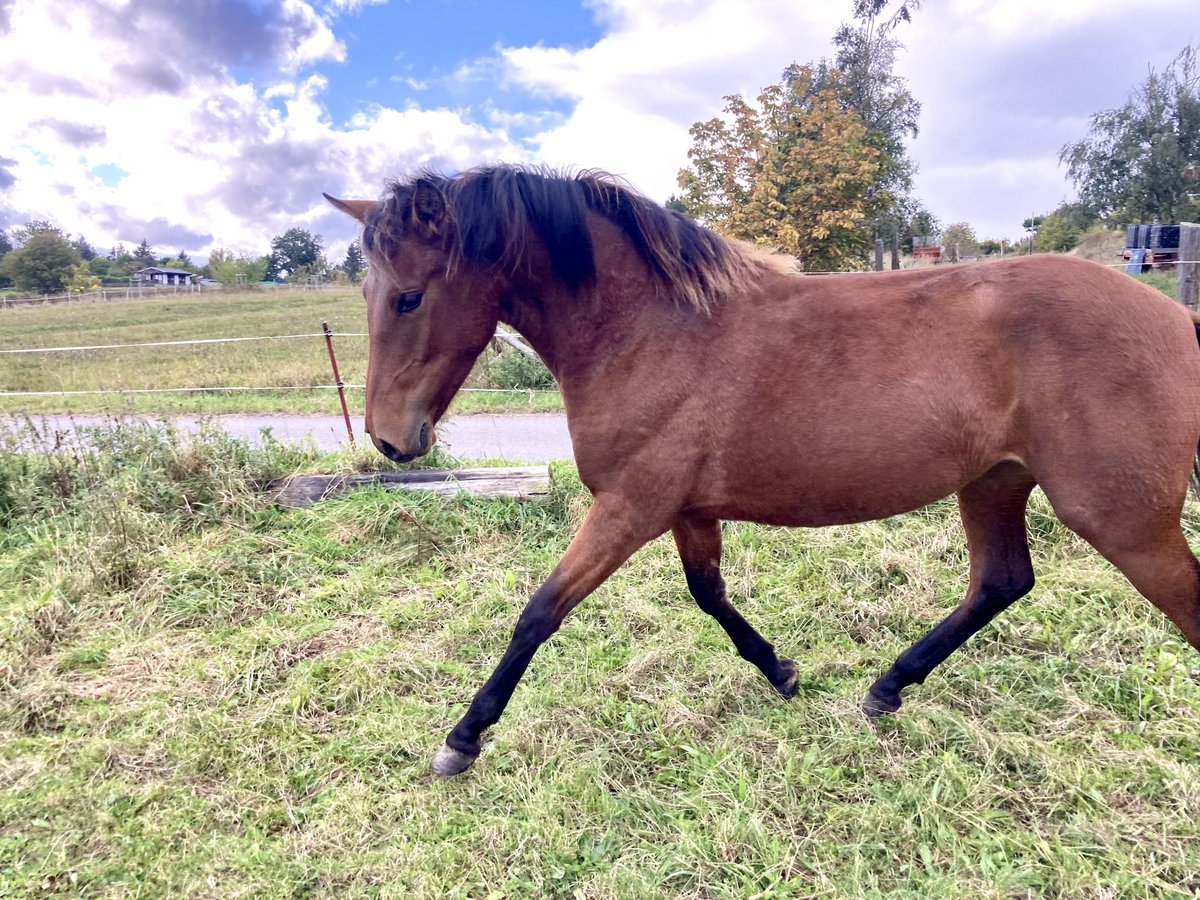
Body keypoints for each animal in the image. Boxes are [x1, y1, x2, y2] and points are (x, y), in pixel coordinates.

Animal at [326, 165, 1200, 777]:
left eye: (408, 298)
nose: (390, 441)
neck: (648, 332)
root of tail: (1176, 316)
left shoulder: (628, 507)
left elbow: (538, 612)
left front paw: (463, 738)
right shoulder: (684, 510)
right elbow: (709, 595)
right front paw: (782, 673)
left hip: (1122, 519)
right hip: (994, 481)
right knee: (1001, 581)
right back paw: (886, 688)